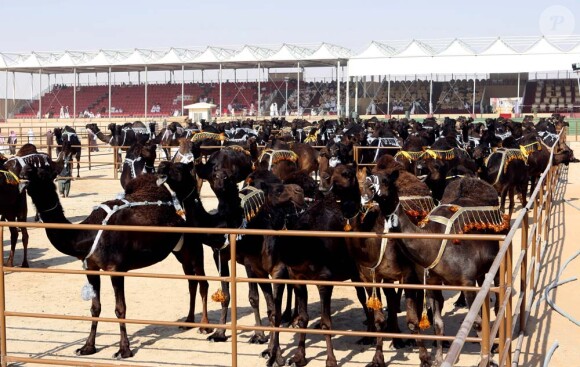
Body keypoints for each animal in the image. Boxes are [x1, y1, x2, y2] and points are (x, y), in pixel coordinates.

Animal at [19, 158, 186, 360]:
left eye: (43, 173)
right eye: (28, 168)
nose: (24, 171)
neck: (86, 234)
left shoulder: (116, 269)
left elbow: (120, 308)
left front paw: (124, 350)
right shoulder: (90, 267)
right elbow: (95, 308)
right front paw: (87, 347)